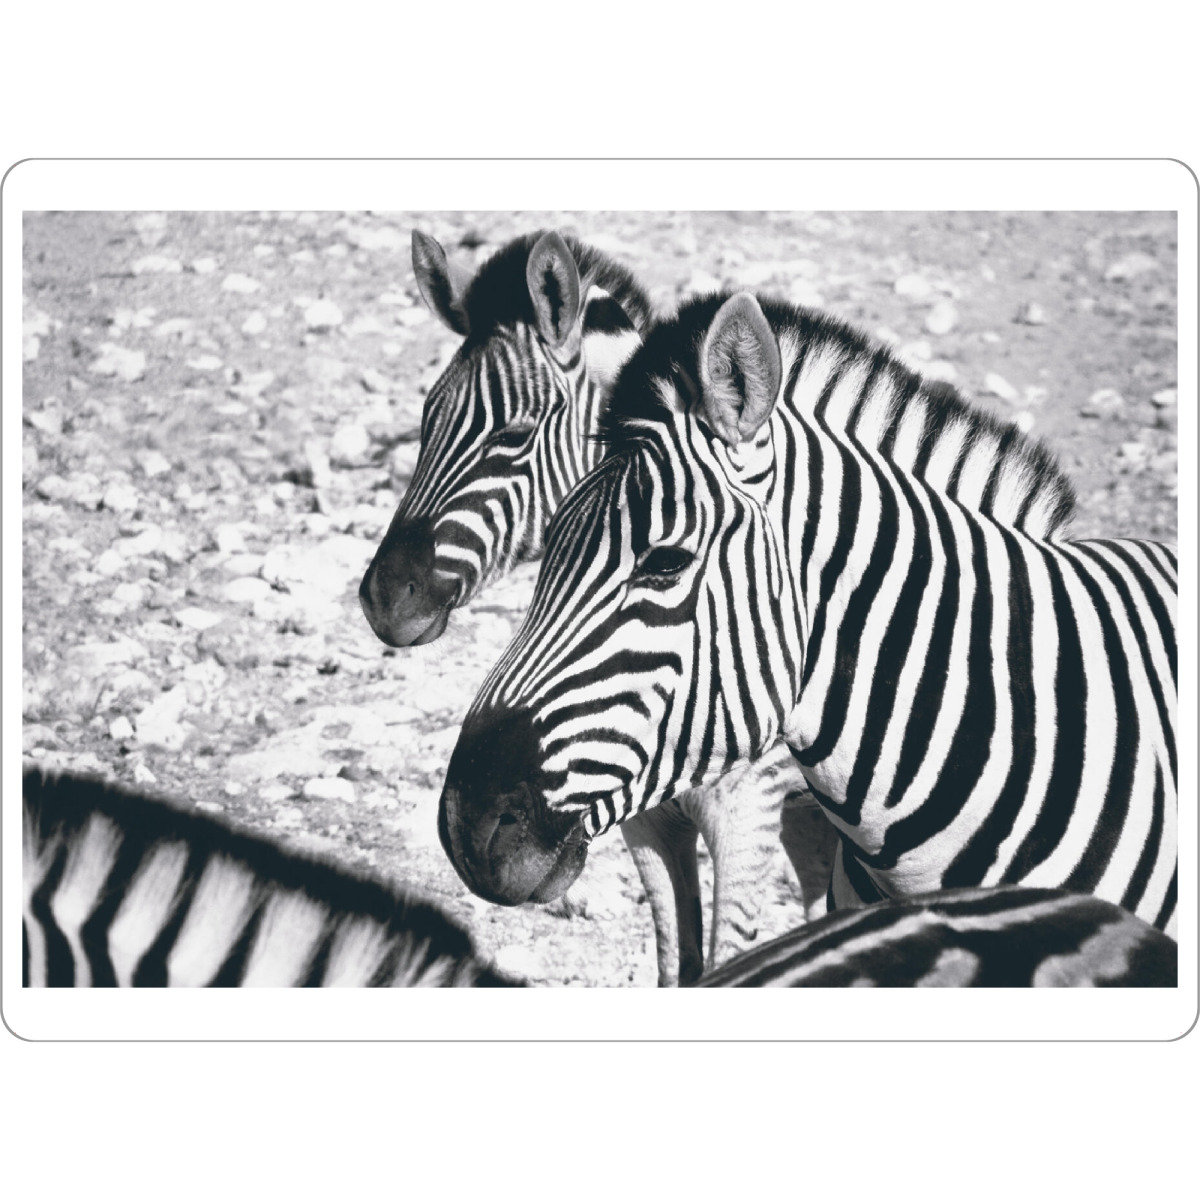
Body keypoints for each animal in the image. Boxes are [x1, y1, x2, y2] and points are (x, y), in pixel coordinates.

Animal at [359, 230, 829, 985]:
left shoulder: (749, 817)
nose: (382, 598)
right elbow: (675, 962)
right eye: (425, 422)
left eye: (514, 436)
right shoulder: (641, 820)